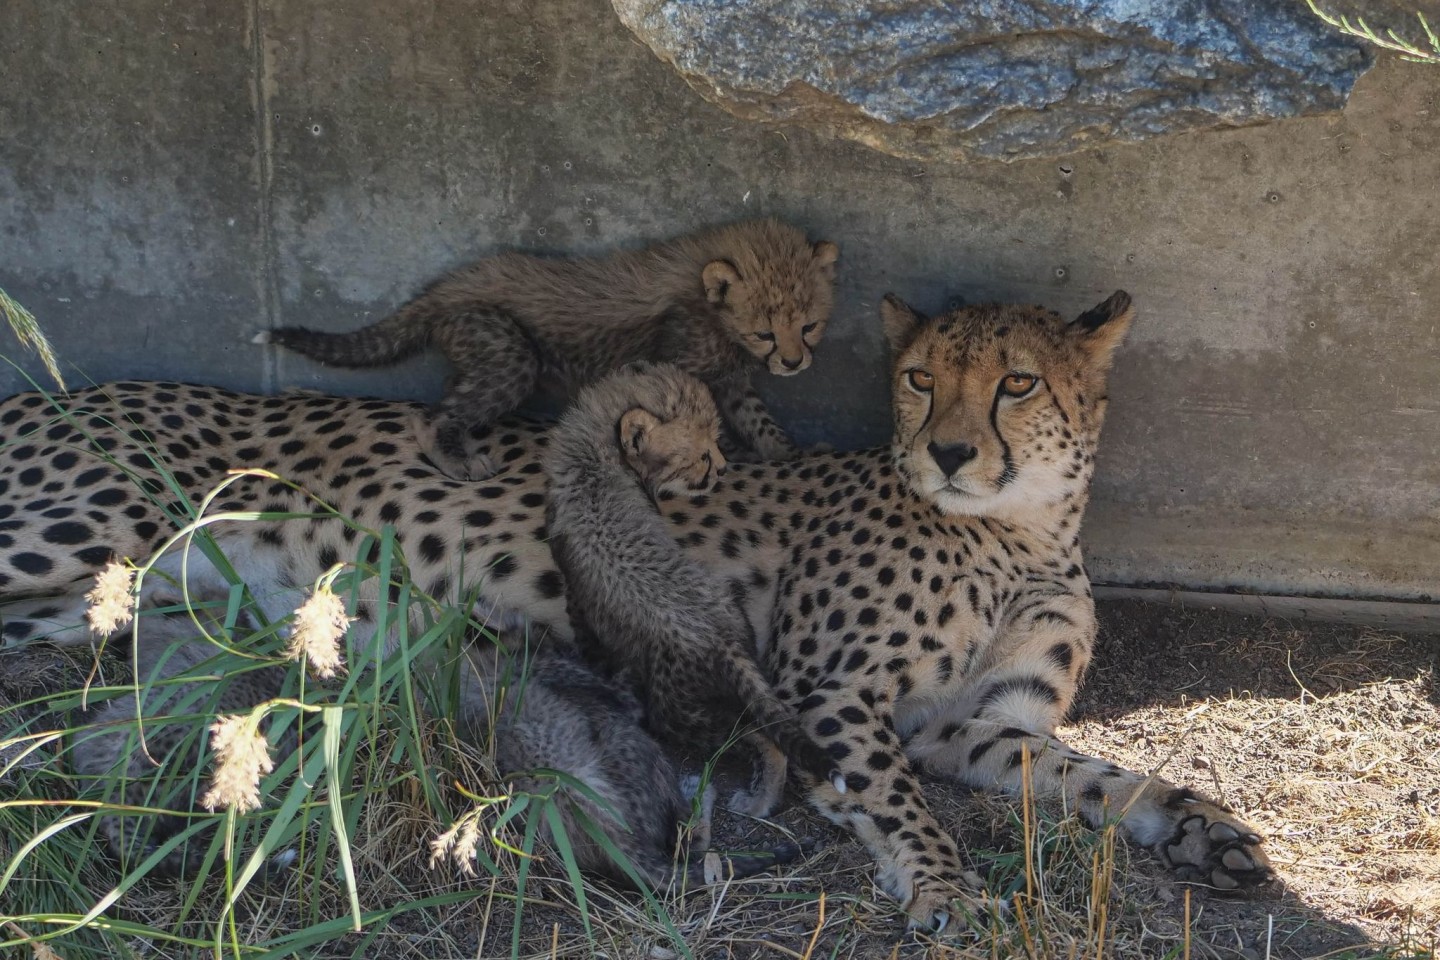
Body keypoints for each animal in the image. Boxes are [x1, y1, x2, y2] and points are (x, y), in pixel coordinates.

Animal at [0, 290, 1272, 921]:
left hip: (103, 600)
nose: (952, 451)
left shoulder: (975, 725)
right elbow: (898, 803)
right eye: (920, 378)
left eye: (1015, 382)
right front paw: (944, 886)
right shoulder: (834, 694)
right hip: (91, 535)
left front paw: (1201, 828)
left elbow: (1099, 779)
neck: (1019, 530)